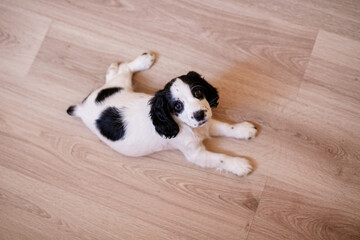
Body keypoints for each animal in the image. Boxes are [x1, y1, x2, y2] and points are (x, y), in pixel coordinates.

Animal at [67, 52, 258, 176]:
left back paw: (133, 63)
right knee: (124, 70)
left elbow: (225, 127)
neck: (184, 126)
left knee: (120, 72)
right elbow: (220, 158)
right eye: (177, 106)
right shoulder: (196, 153)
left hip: (119, 87)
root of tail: (82, 106)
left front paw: (244, 129)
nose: (199, 115)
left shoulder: (205, 123)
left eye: (197, 92)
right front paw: (239, 164)